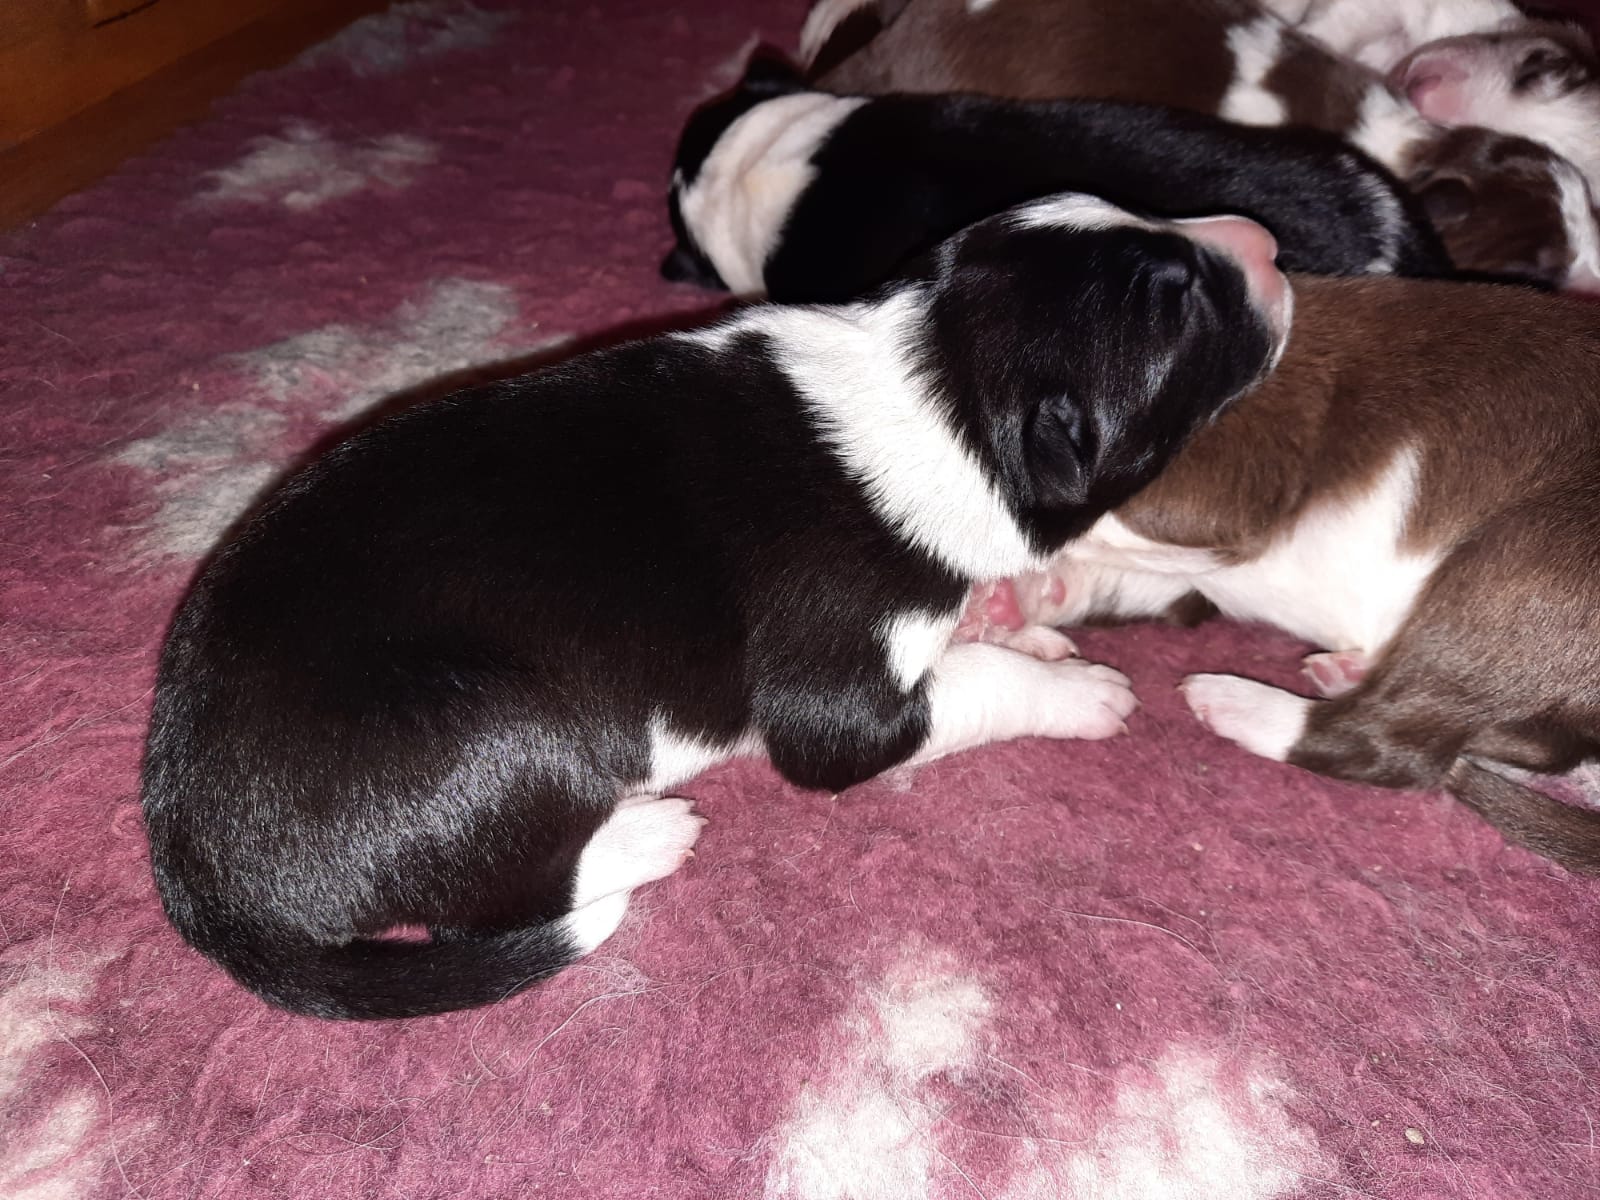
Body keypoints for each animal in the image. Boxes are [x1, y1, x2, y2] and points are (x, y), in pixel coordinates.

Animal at [140, 194, 1291, 1019]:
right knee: (500, 908)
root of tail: (197, 871)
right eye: (1178, 302)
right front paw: (1079, 689)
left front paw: (1030, 628)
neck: (941, 389)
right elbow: (958, 691)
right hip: (503, 733)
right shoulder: (837, 705)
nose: (1269, 243)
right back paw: (649, 837)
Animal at [969, 274, 1600, 874]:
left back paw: (1240, 704)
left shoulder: (1218, 489)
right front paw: (1006, 603)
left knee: (1387, 744)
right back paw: (1345, 673)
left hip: (1518, 564)